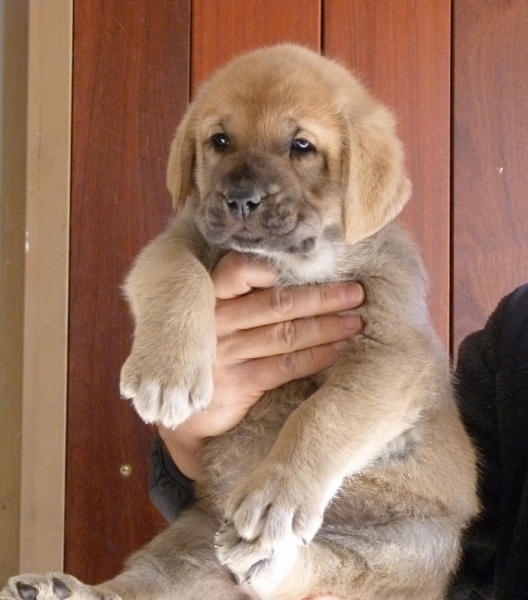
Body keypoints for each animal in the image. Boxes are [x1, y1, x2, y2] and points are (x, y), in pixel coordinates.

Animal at [2, 43, 478, 600]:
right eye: (220, 141)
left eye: (301, 146)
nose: (241, 200)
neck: (291, 264)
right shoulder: (174, 242)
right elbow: (179, 276)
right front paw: (167, 374)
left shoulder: (393, 348)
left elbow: (322, 414)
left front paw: (278, 496)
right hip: (186, 542)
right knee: (137, 588)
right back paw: (62, 590)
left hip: (410, 549)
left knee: (334, 570)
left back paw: (272, 557)